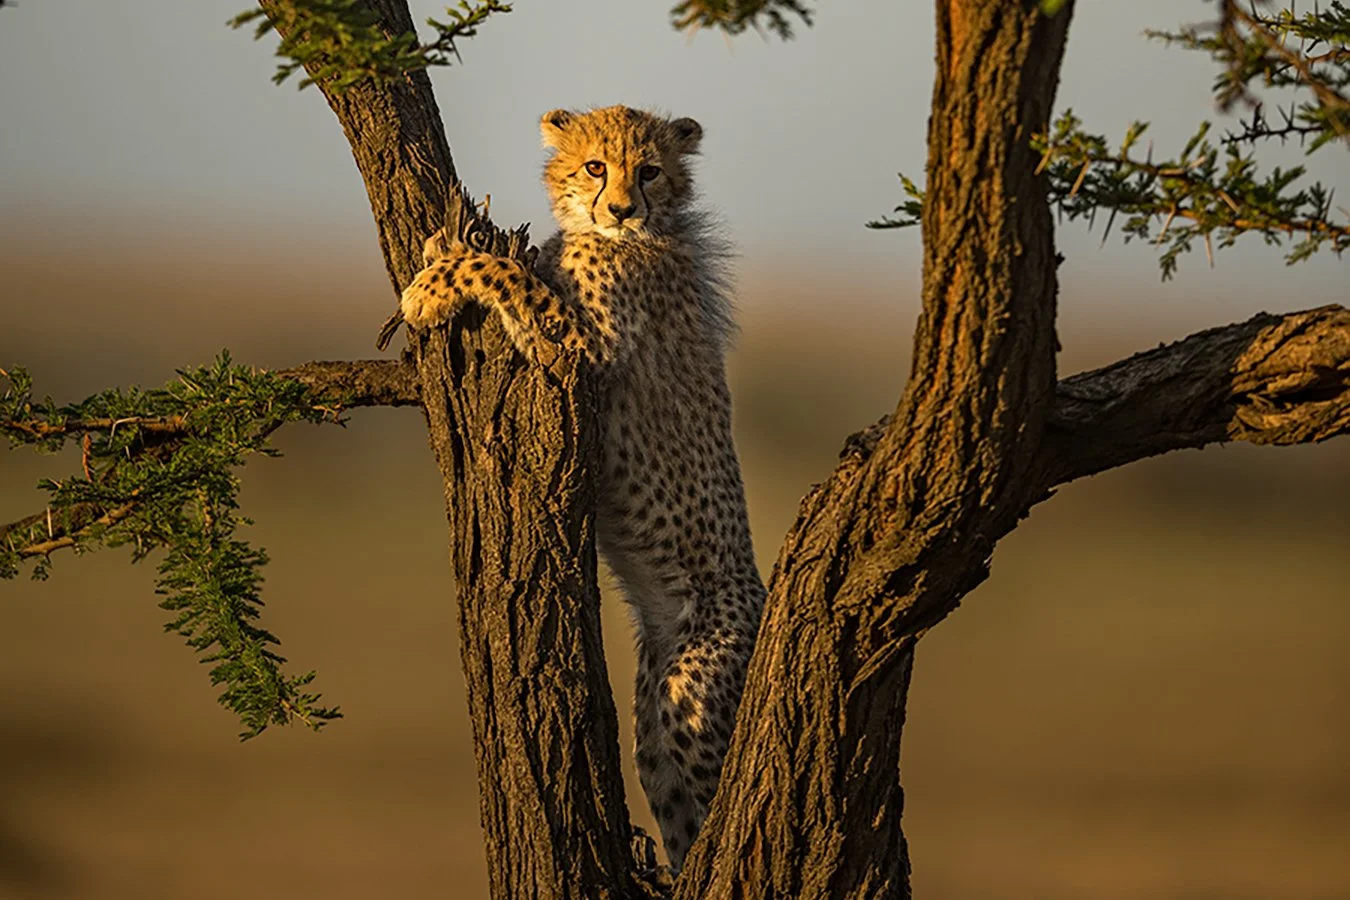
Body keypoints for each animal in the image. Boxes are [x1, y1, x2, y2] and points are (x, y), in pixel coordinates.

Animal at [400, 105, 766, 871]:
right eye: (597, 166)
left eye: (649, 170)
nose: (621, 208)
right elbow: (520, 263)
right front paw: (439, 256)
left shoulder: (581, 353)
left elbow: (505, 268)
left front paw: (430, 287)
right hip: (653, 727)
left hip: (692, 691)